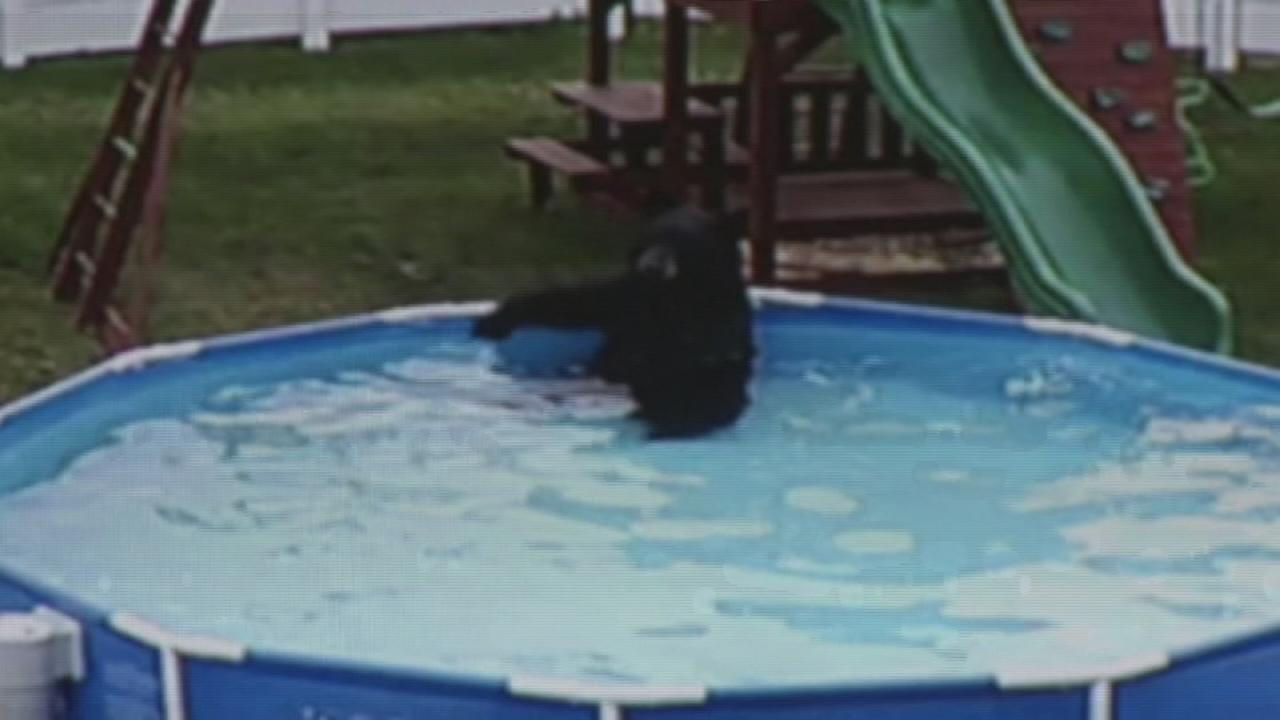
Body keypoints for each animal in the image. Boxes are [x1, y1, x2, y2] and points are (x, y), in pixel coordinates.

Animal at [473, 203, 752, 438]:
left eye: (683, 243)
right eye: (650, 238)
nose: (650, 266)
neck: (666, 294)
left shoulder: (712, 317)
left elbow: (682, 354)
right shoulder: (623, 297)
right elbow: (576, 302)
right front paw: (494, 320)